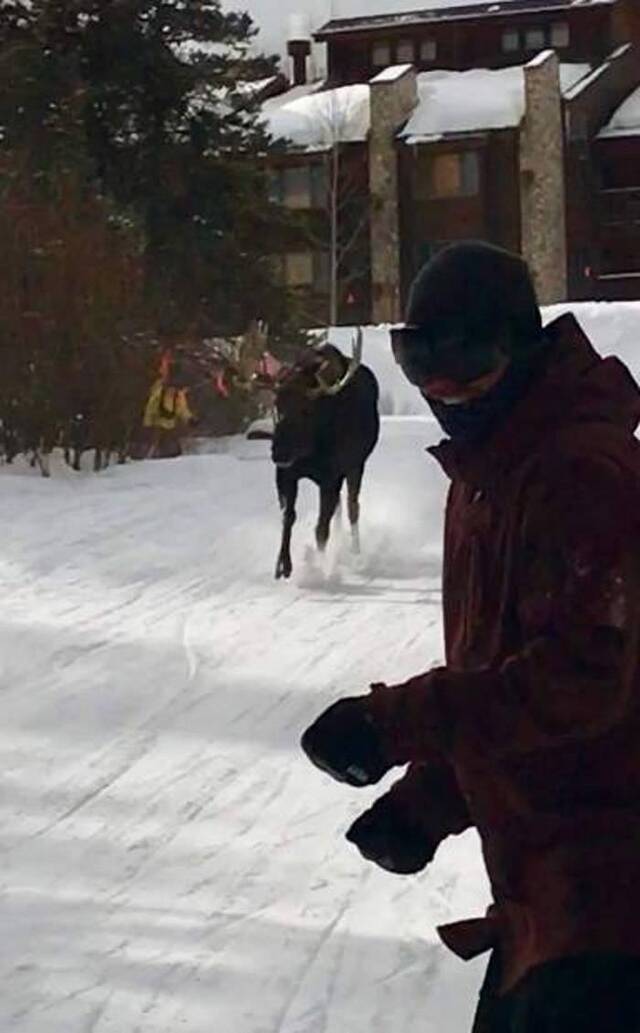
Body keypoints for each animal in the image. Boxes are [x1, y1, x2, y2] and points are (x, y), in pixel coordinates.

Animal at [266, 330, 377, 582]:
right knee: (339, 508)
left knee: (352, 506)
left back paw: (355, 553)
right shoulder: (286, 474)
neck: (310, 451)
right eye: (277, 406)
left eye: (306, 410)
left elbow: (320, 529)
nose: (278, 452)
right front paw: (282, 565)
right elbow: (288, 516)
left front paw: (318, 569)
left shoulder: (331, 476)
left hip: (357, 464)